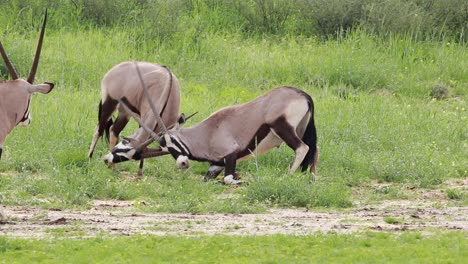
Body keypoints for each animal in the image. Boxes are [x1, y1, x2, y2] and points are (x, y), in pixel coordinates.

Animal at [105, 77, 318, 185]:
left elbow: (228, 179)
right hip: (303, 129)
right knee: (313, 150)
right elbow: (206, 180)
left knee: (303, 148)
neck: (206, 133)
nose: (183, 163)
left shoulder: (230, 155)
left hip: (284, 128)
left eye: (172, 140)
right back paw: (310, 178)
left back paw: (287, 176)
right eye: (163, 145)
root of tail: (303, 95)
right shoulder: (215, 165)